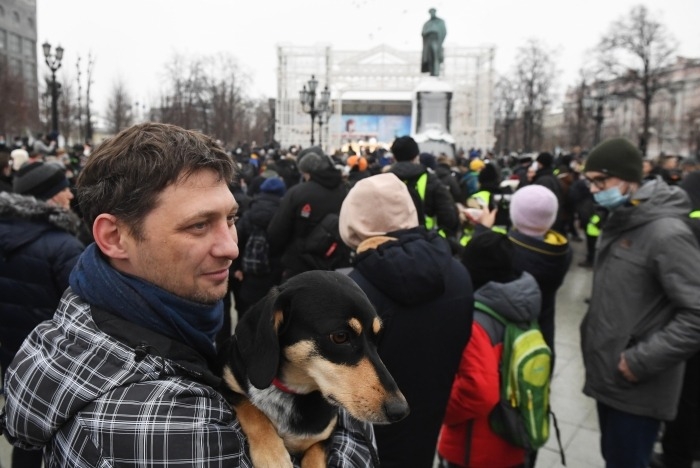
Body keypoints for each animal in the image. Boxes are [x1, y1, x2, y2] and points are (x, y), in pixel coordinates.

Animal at [216, 270, 408, 468]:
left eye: (377, 337)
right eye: (340, 336)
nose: (400, 410)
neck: (292, 392)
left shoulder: (325, 437)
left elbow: (315, 455)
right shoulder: (226, 382)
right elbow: (251, 409)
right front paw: (272, 453)